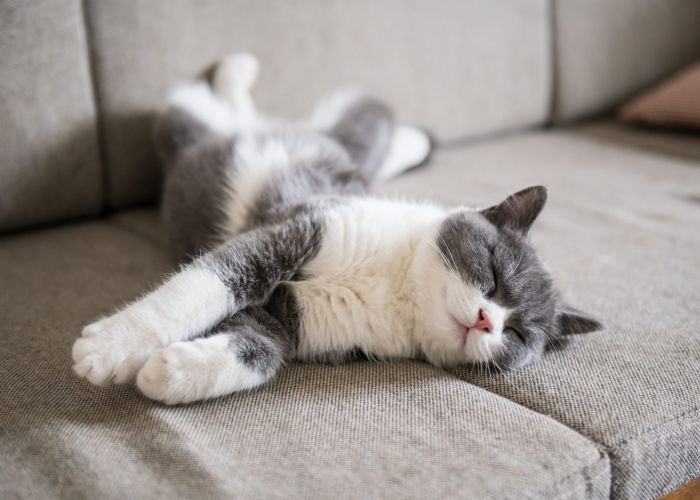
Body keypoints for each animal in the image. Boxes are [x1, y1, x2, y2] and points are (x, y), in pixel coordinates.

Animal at [72, 53, 600, 406]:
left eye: (520, 334)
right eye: (492, 274)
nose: (489, 320)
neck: (398, 285)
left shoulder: (294, 319)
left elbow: (260, 348)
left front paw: (169, 371)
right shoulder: (292, 231)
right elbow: (199, 290)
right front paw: (108, 349)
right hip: (188, 128)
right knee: (201, 100)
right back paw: (237, 71)